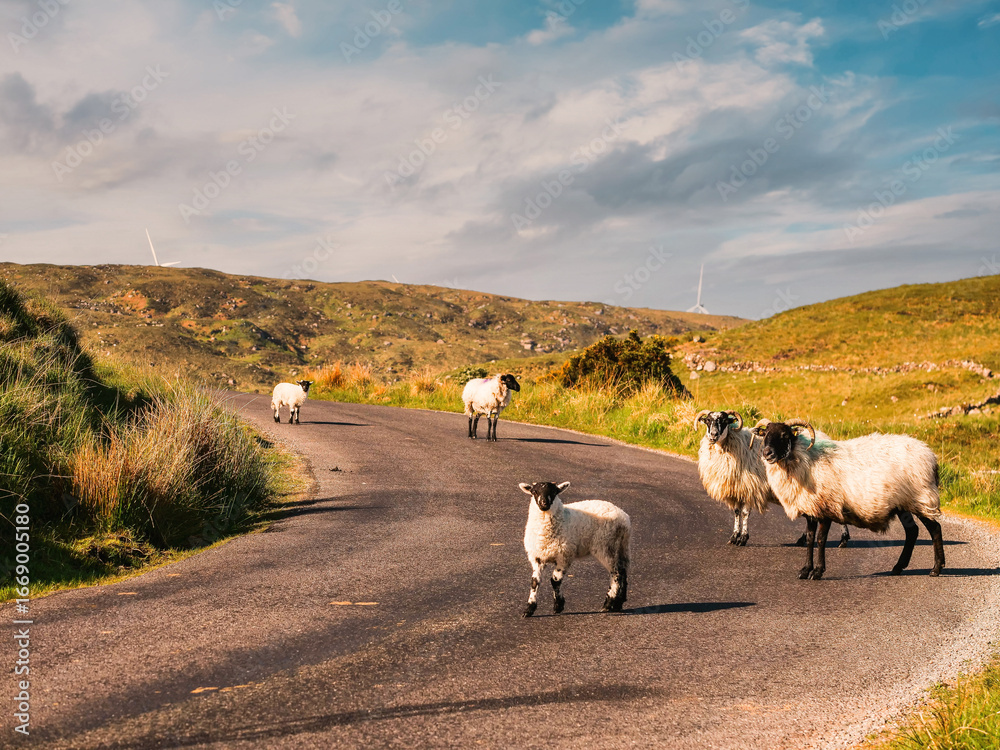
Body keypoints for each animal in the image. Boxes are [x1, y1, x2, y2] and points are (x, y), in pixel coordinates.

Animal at [519, 481, 630, 617]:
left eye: (554, 492)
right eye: (534, 492)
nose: (544, 503)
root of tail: (624, 518)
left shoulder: (564, 556)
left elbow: (555, 580)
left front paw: (558, 605)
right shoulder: (537, 557)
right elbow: (535, 582)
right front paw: (529, 609)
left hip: (606, 546)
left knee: (616, 573)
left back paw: (608, 604)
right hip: (620, 547)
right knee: (623, 571)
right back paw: (619, 604)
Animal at [695, 410, 850, 548]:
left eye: (724, 421)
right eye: (708, 421)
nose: (713, 435)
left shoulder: (750, 487)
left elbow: (745, 513)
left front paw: (743, 538)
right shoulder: (737, 489)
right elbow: (737, 513)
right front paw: (734, 537)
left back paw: (843, 540)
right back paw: (805, 539)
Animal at [750, 418, 944, 580]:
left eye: (784, 435)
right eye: (765, 434)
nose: (767, 453)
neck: (806, 461)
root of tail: (931, 456)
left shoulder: (826, 508)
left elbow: (820, 540)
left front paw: (817, 571)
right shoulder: (811, 509)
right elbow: (810, 539)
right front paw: (805, 570)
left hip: (920, 497)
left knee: (934, 529)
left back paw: (936, 568)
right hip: (903, 504)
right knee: (912, 532)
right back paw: (898, 567)